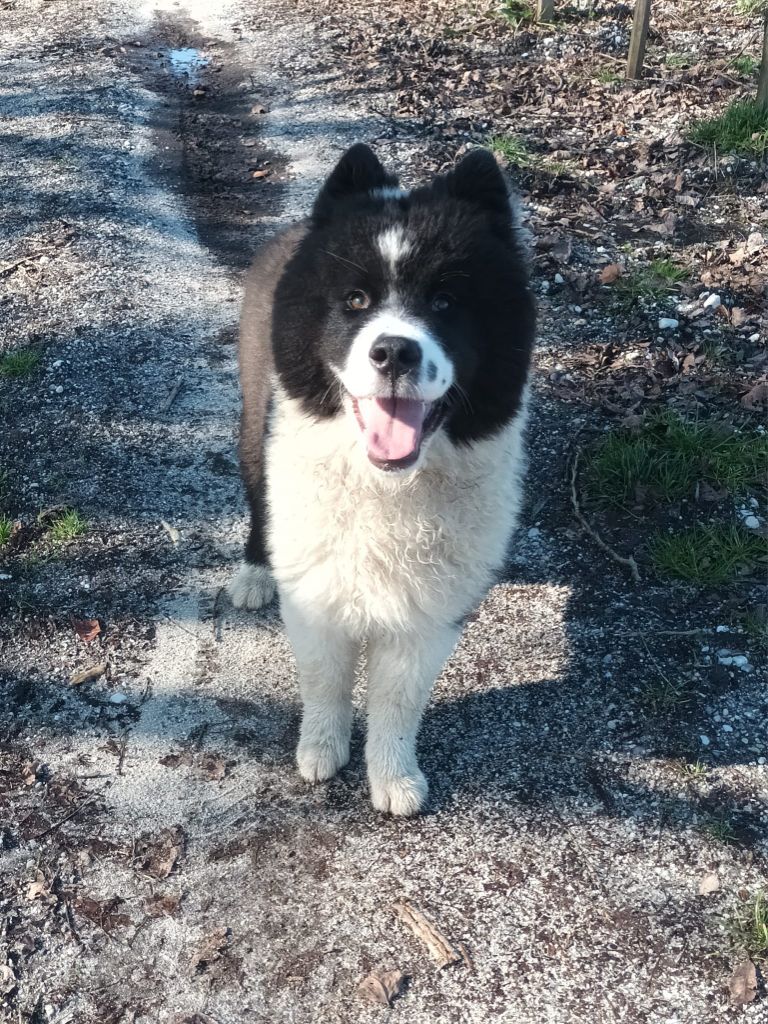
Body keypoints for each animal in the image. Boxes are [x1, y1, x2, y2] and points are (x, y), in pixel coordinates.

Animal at [228, 144, 536, 815]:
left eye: (445, 302)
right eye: (356, 302)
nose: (395, 351)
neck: (386, 485)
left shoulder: (428, 619)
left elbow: (399, 700)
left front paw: (392, 776)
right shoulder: (315, 596)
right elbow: (326, 680)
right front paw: (321, 749)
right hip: (253, 426)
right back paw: (253, 572)